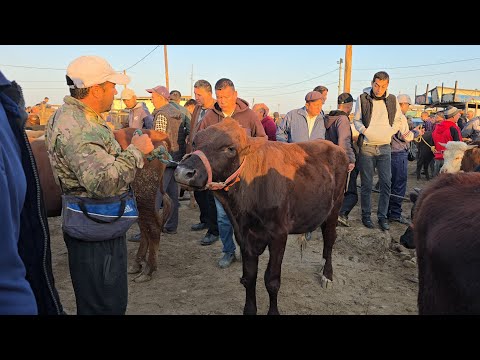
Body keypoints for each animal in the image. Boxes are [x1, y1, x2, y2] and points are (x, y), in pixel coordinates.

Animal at [174, 119, 346, 316]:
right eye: (195, 142)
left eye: (230, 148)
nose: (184, 172)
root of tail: (332, 145)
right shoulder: (243, 236)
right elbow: (249, 278)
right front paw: (249, 309)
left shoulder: (279, 235)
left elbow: (272, 281)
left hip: (335, 208)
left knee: (330, 239)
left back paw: (327, 274)